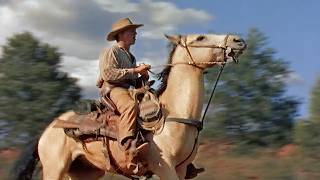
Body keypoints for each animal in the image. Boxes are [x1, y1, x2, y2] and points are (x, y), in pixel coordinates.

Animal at [15, 33, 246, 179]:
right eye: (200, 37)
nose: (238, 40)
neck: (174, 115)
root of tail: (45, 132)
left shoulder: (180, 169)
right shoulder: (165, 167)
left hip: (83, 172)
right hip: (55, 169)